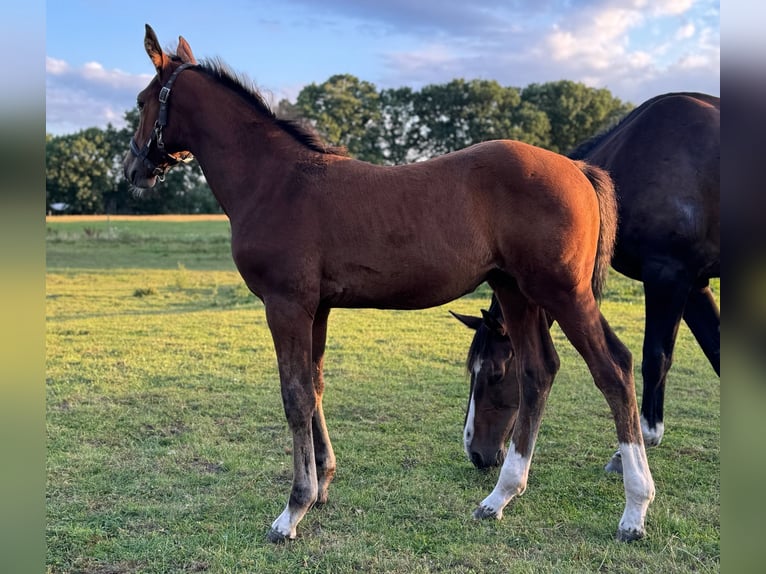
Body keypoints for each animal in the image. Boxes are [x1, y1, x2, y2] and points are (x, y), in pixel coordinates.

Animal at [124, 25, 654, 542]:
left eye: (141, 100)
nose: (133, 170)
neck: (276, 181)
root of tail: (578, 170)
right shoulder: (317, 307)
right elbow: (315, 386)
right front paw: (321, 486)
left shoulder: (286, 305)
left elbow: (295, 396)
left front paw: (292, 510)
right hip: (515, 291)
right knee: (538, 371)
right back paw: (499, 497)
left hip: (562, 292)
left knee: (614, 369)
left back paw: (634, 509)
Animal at [454, 92, 719, 473]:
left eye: (495, 373)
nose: (477, 454)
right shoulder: (696, 284)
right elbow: (716, 351)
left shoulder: (669, 274)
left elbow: (655, 358)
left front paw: (635, 447)